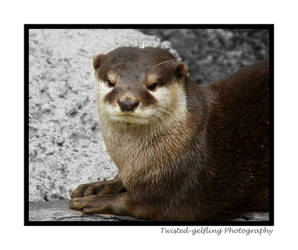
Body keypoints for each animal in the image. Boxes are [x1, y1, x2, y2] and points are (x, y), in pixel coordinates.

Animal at [70, 47, 270, 221]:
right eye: (111, 82)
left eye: (153, 85)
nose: (127, 102)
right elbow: (121, 180)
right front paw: (96, 186)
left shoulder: (180, 186)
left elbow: (139, 202)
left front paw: (96, 201)